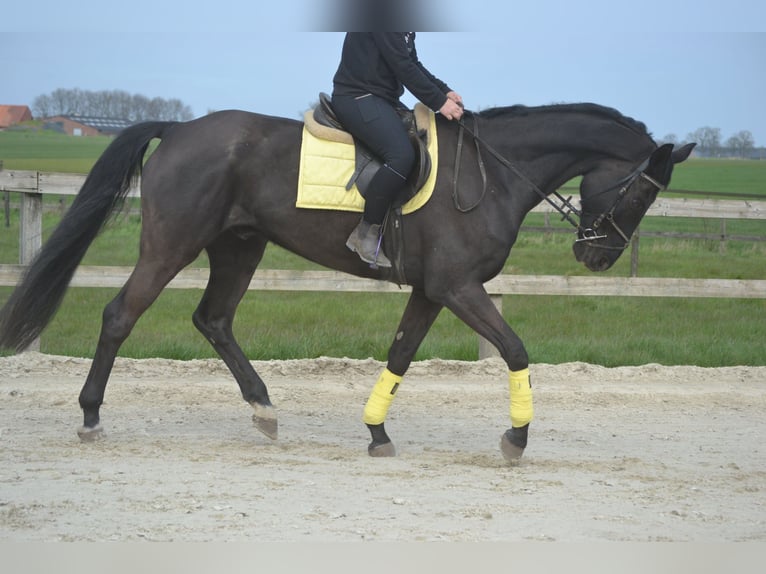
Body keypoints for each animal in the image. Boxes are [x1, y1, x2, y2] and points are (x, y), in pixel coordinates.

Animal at [0, 103, 694, 462]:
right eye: (641, 192)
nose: (599, 257)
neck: (493, 173)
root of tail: (179, 128)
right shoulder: (459, 288)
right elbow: (516, 349)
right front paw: (517, 437)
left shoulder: (432, 291)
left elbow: (401, 354)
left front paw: (377, 431)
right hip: (174, 243)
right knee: (121, 314)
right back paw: (91, 417)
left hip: (240, 246)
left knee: (213, 319)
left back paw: (264, 409)